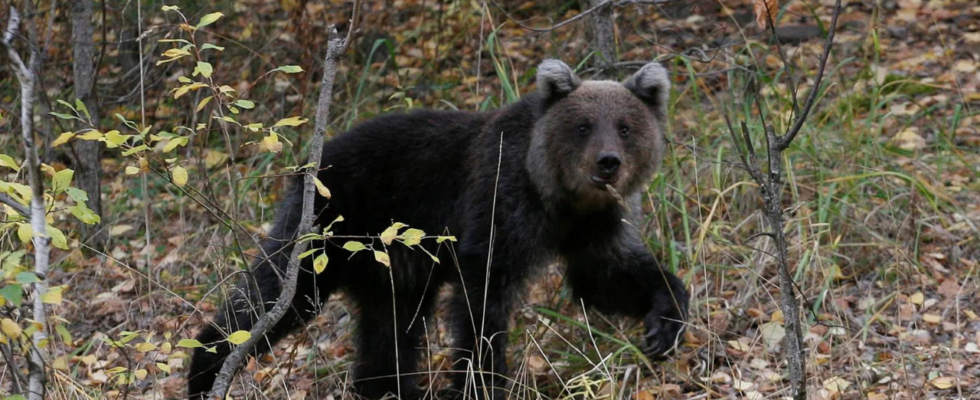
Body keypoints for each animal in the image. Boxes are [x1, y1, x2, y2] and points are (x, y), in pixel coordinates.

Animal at [188, 59, 684, 400]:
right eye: (583, 126)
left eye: (625, 126)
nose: (607, 163)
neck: (557, 195)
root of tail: (310, 162)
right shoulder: (499, 204)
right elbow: (483, 303)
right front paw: (481, 379)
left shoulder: (592, 226)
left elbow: (607, 276)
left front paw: (664, 324)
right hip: (327, 230)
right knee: (276, 296)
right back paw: (206, 367)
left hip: (391, 264)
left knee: (390, 330)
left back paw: (386, 388)